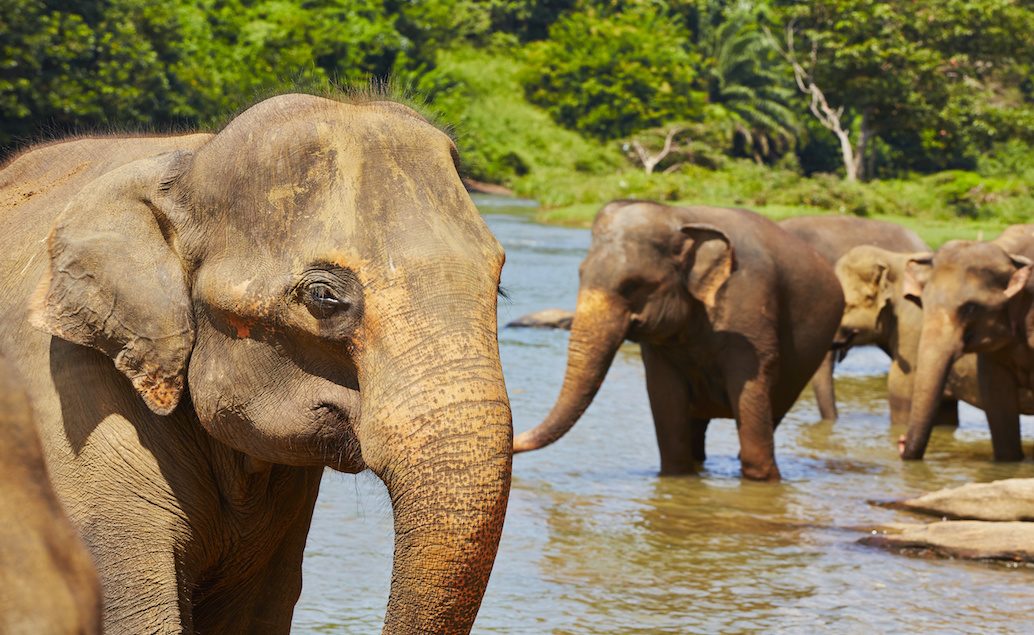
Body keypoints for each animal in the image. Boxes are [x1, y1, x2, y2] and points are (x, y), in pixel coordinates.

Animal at [512, 201, 843, 479]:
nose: (514, 441)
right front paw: (677, 477)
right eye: (580, 274)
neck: (680, 217)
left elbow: (751, 387)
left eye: (633, 285)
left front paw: (764, 480)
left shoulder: (750, 308)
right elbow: (666, 401)